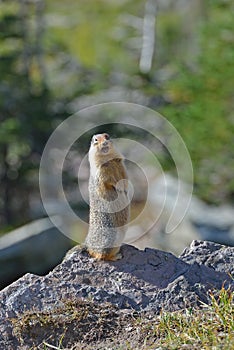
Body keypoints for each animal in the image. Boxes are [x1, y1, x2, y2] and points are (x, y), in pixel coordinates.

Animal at [84, 133, 129, 262]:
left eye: (107, 136)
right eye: (95, 140)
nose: (104, 143)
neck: (109, 160)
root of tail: (88, 247)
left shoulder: (120, 164)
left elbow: (125, 176)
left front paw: (125, 188)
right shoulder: (102, 172)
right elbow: (108, 182)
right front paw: (119, 188)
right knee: (101, 256)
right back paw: (116, 256)